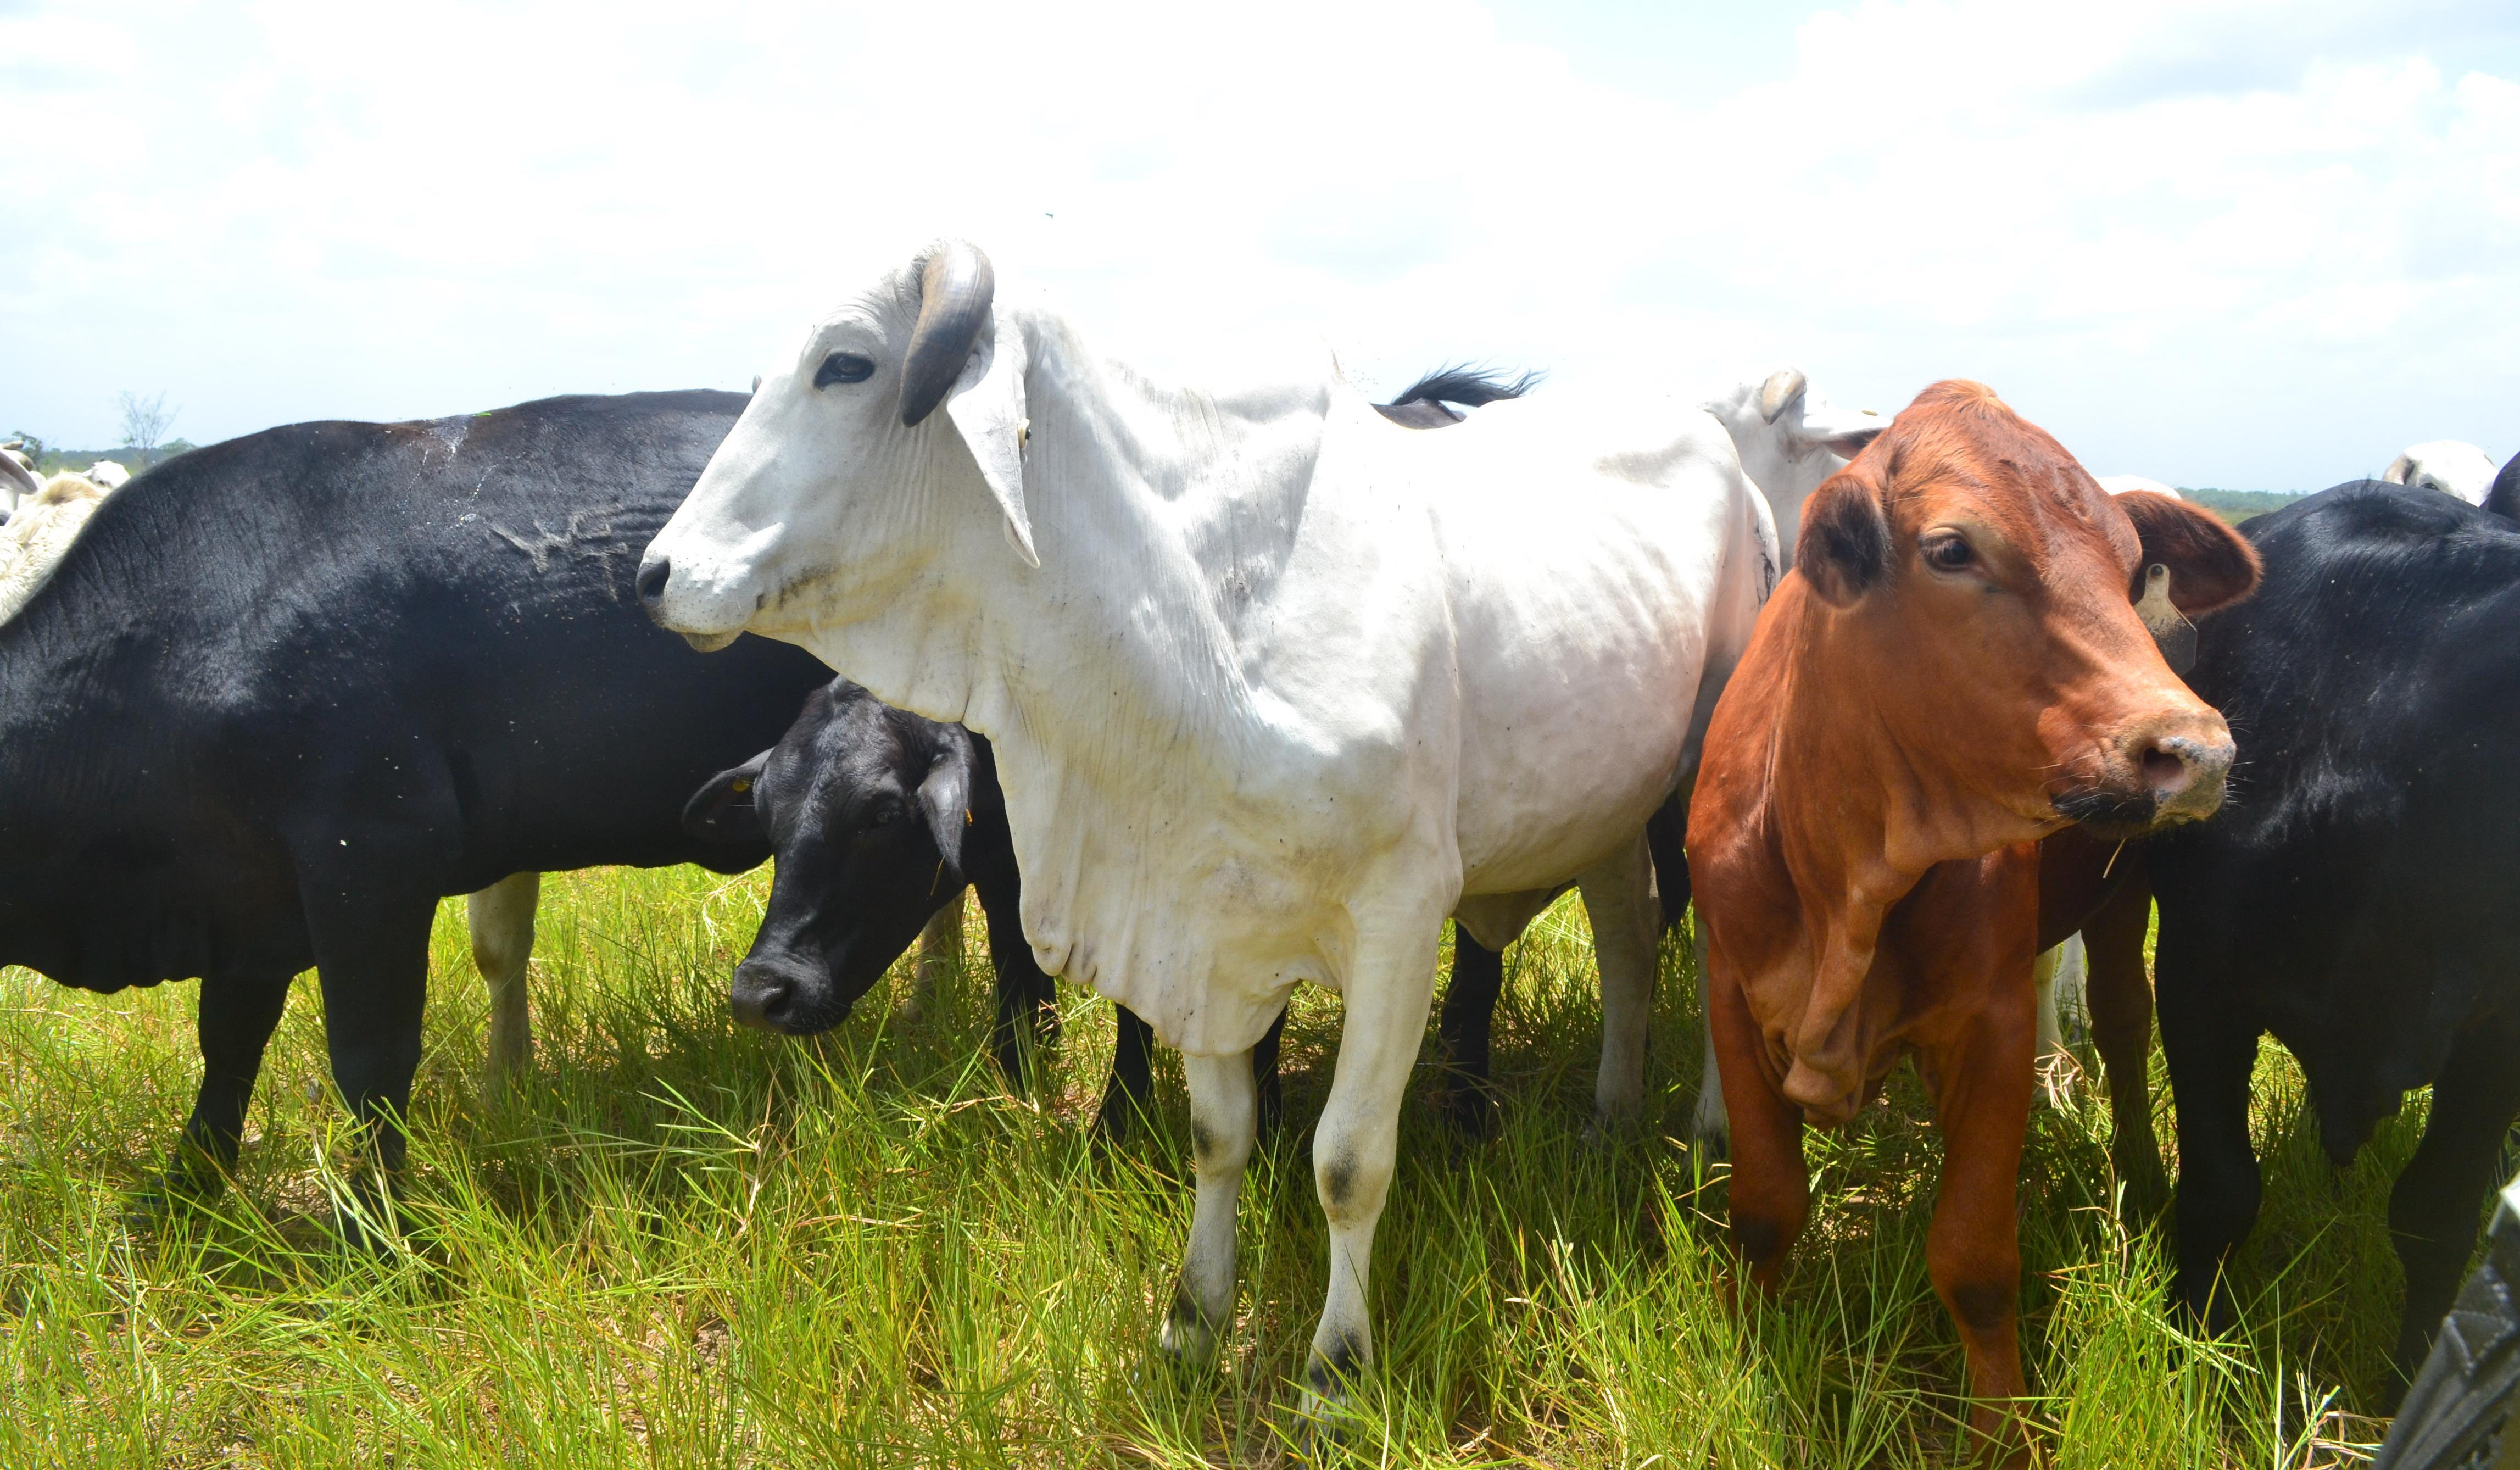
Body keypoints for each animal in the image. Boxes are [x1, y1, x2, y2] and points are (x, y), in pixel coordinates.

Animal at [0, 388, 826, 1220]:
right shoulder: (246, 894)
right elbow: (229, 1041)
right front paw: (187, 1194)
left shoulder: (372, 856)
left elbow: (371, 1055)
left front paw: (375, 1221)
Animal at [640, 242, 1794, 1412]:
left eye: (845, 364)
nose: (656, 574)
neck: (1196, 614)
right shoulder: (1191, 916)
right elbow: (1215, 1136)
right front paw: (1193, 1320)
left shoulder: (1397, 919)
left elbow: (1345, 1161)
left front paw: (1333, 1373)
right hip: (1601, 809)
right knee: (1628, 939)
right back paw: (1609, 1120)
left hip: (1701, 786)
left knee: (1711, 948)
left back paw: (1705, 1129)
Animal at [1683, 381, 2257, 1462]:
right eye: (1951, 550)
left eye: (2132, 568)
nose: (2195, 750)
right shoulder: (1732, 997)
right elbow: (1766, 1210)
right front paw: (1737, 1351)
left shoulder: (1989, 1025)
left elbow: (1976, 1260)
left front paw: (2002, 1429)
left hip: (2124, 889)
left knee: (2123, 1018)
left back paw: (2138, 1167)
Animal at [2147, 484, 2520, 1391]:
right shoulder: (2195, 974)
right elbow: (2220, 1189)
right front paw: (2190, 1349)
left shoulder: (2500, 1027)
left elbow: (2438, 1215)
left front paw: (2410, 1381)